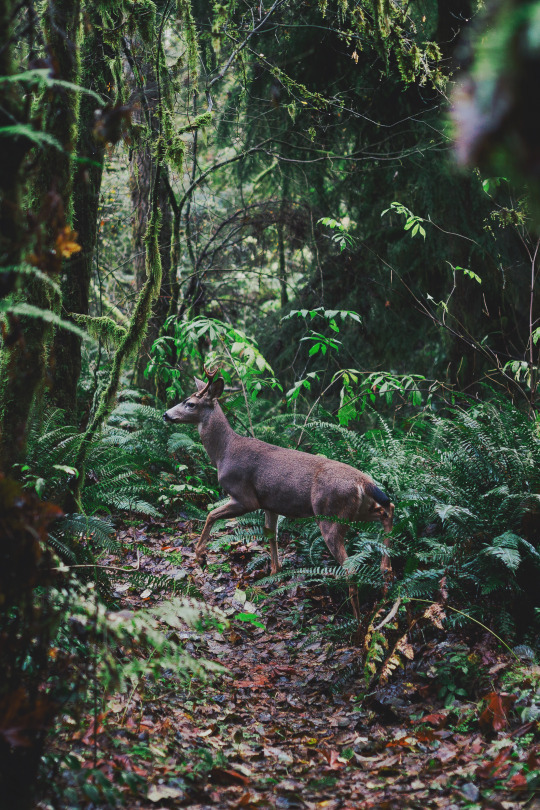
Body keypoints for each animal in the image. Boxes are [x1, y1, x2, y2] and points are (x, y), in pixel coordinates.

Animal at [162, 368, 394, 620]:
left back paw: (358, 618)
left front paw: (200, 556)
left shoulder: (245, 497)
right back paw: (386, 572)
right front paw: (274, 574)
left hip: (330, 513)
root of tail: (364, 482)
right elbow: (270, 535)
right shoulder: (270, 504)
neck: (224, 452)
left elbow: (210, 514)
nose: (166, 415)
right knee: (388, 509)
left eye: (190, 403)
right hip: (356, 510)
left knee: (351, 566)